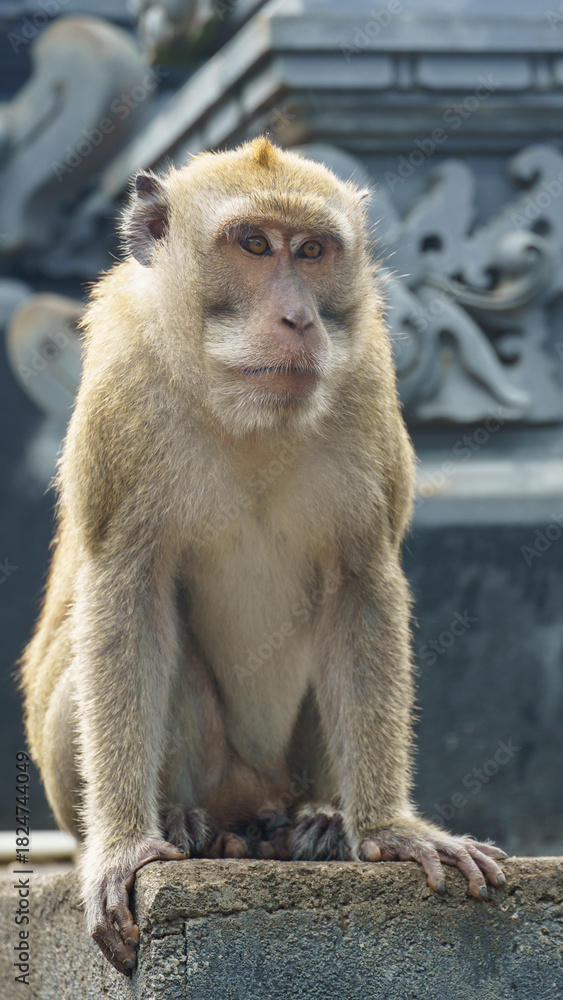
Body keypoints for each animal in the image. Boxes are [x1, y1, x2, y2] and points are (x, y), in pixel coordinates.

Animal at [20, 136, 507, 976]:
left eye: (310, 251)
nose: (298, 317)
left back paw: (316, 821)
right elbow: (125, 592)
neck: (243, 411)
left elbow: (358, 585)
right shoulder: (122, 388)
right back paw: (189, 823)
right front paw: (124, 846)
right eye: (252, 245)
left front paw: (388, 830)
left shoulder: (365, 377)